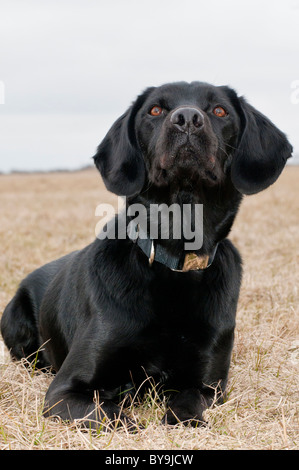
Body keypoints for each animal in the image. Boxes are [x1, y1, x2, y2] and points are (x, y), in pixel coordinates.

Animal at [1, 81, 292, 430]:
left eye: (219, 110)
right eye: (155, 110)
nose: (187, 119)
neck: (174, 263)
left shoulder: (208, 385)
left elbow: (187, 405)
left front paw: (185, 421)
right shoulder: (64, 390)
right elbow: (112, 416)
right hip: (12, 320)